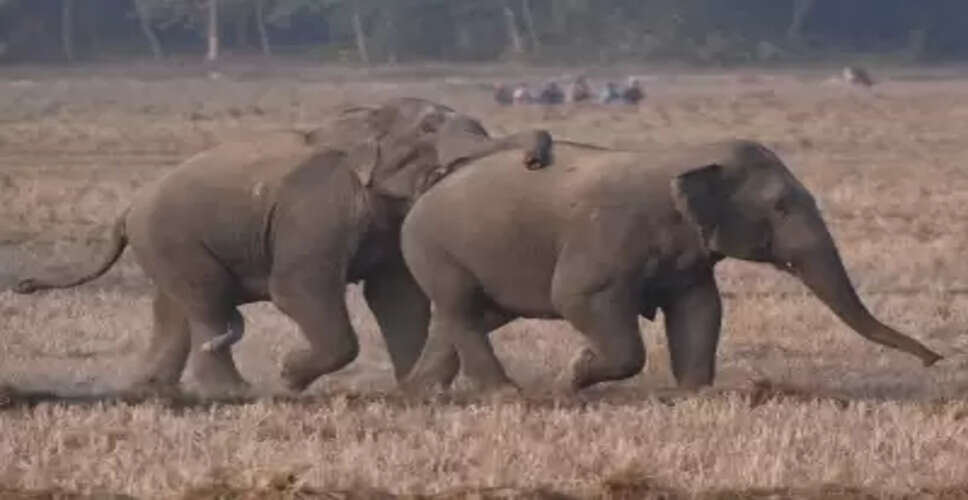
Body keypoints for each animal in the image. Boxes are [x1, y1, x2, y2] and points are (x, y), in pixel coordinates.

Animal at [13, 97, 554, 397]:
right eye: (428, 129)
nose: (535, 160)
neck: (361, 118)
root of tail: (128, 208)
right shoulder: (314, 210)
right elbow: (297, 288)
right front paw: (290, 376)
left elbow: (398, 298)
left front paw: (412, 391)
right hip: (172, 240)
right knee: (207, 303)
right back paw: (233, 390)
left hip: (166, 247)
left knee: (176, 311)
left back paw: (152, 389)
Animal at [398, 139, 943, 394]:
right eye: (781, 205)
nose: (933, 360)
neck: (686, 155)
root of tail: (426, 189)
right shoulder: (605, 240)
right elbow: (576, 298)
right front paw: (574, 374)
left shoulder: (689, 259)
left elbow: (701, 309)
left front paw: (695, 393)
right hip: (434, 249)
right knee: (463, 310)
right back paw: (504, 393)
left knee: (470, 317)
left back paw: (419, 391)